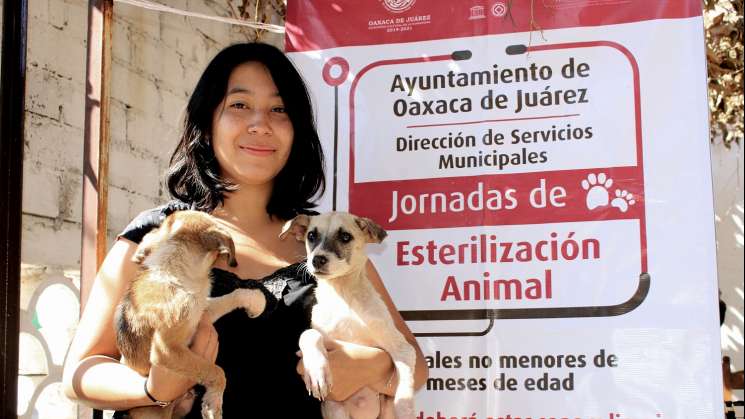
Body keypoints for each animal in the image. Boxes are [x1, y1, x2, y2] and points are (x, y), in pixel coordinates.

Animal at [115, 213, 266, 419]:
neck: (175, 270)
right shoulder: (167, 349)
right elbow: (215, 370)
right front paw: (213, 404)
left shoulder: (201, 310)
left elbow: (232, 296)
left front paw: (256, 301)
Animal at [280, 213, 416, 419]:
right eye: (311, 235)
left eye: (345, 236)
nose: (317, 260)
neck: (342, 296)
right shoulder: (317, 334)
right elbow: (309, 334)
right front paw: (317, 371)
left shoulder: (402, 347)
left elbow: (405, 379)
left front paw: (405, 407)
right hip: (335, 411)